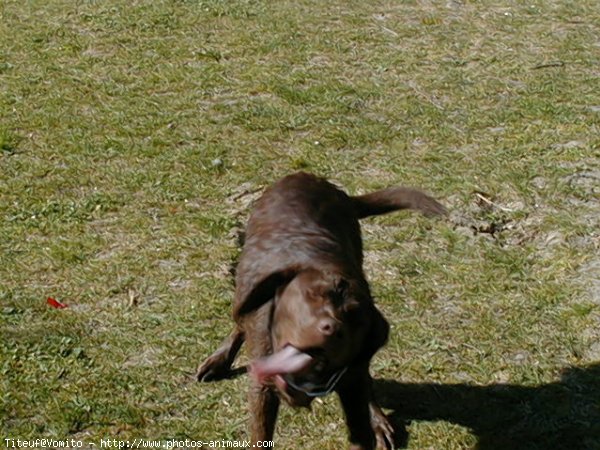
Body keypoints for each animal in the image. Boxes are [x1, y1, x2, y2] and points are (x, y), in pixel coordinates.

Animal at [197, 171, 446, 448]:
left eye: (354, 314)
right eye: (311, 295)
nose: (331, 328)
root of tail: (312, 178)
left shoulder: (352, 387)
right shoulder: (262, 389)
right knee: (240, 319)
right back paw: (219, 359)